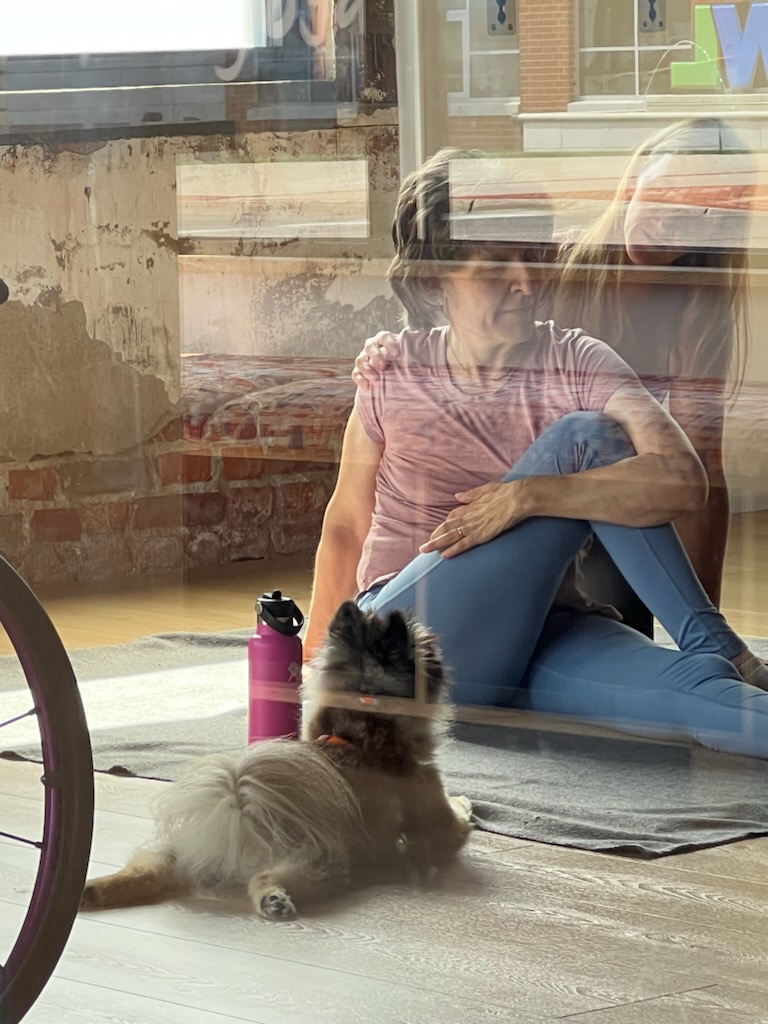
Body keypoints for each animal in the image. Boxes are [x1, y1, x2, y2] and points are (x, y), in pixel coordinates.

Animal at [80, 601, 472, 920]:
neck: (363, 722)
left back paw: (91, 892)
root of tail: (241, 821)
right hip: (321, 861)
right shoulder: (434, 813)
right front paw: (467, 803)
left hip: (178, 849)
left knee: (145, 873)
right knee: (265, 879)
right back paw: (273, 901)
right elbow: (456, 817)